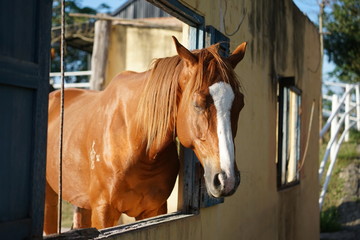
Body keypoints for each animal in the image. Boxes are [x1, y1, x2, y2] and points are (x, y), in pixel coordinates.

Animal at [43, 36, 248, 233]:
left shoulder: (154, 210)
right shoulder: (104, 211)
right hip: (50, 199)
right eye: (198, 104)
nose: (227, 179)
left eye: (240, 104)